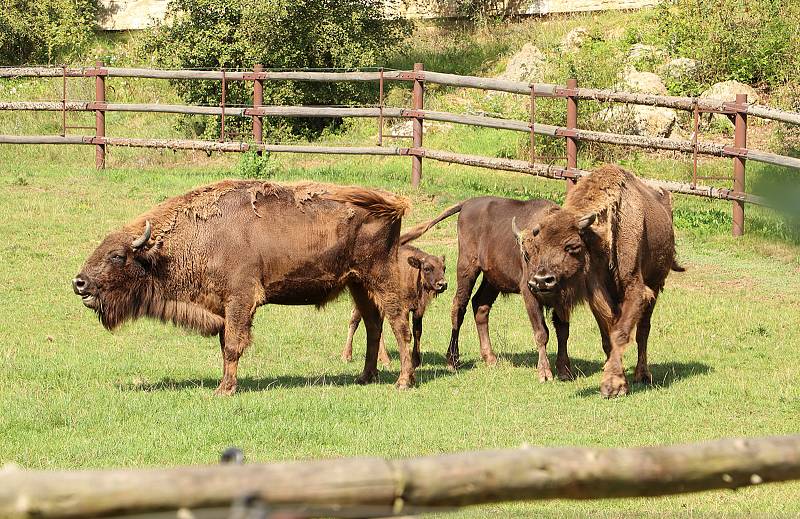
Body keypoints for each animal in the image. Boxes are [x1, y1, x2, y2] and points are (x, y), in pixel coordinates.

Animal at [72, 180, 416, 394]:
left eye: (117, 255)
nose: (79, 282)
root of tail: (391, 204)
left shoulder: (240, 301)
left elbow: (234, 346)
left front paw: (224, 390)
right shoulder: (222, 307)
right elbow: (225, 345)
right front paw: (226, 384)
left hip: (380, 278)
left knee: (399, 324)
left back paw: (402, 381)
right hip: (358, 284)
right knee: (373, 325)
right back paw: (365, 377)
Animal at [512, 165, 680, 396]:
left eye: (572, 246)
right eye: (536, 248)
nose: (541, 281)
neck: (600, 240)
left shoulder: (636, 291)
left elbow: (620, 333)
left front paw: (613, 386)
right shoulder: (598, 297)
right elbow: (607, 337)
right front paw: (613, 374)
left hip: (655, 285)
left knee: (643, 331)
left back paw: (642, 375)